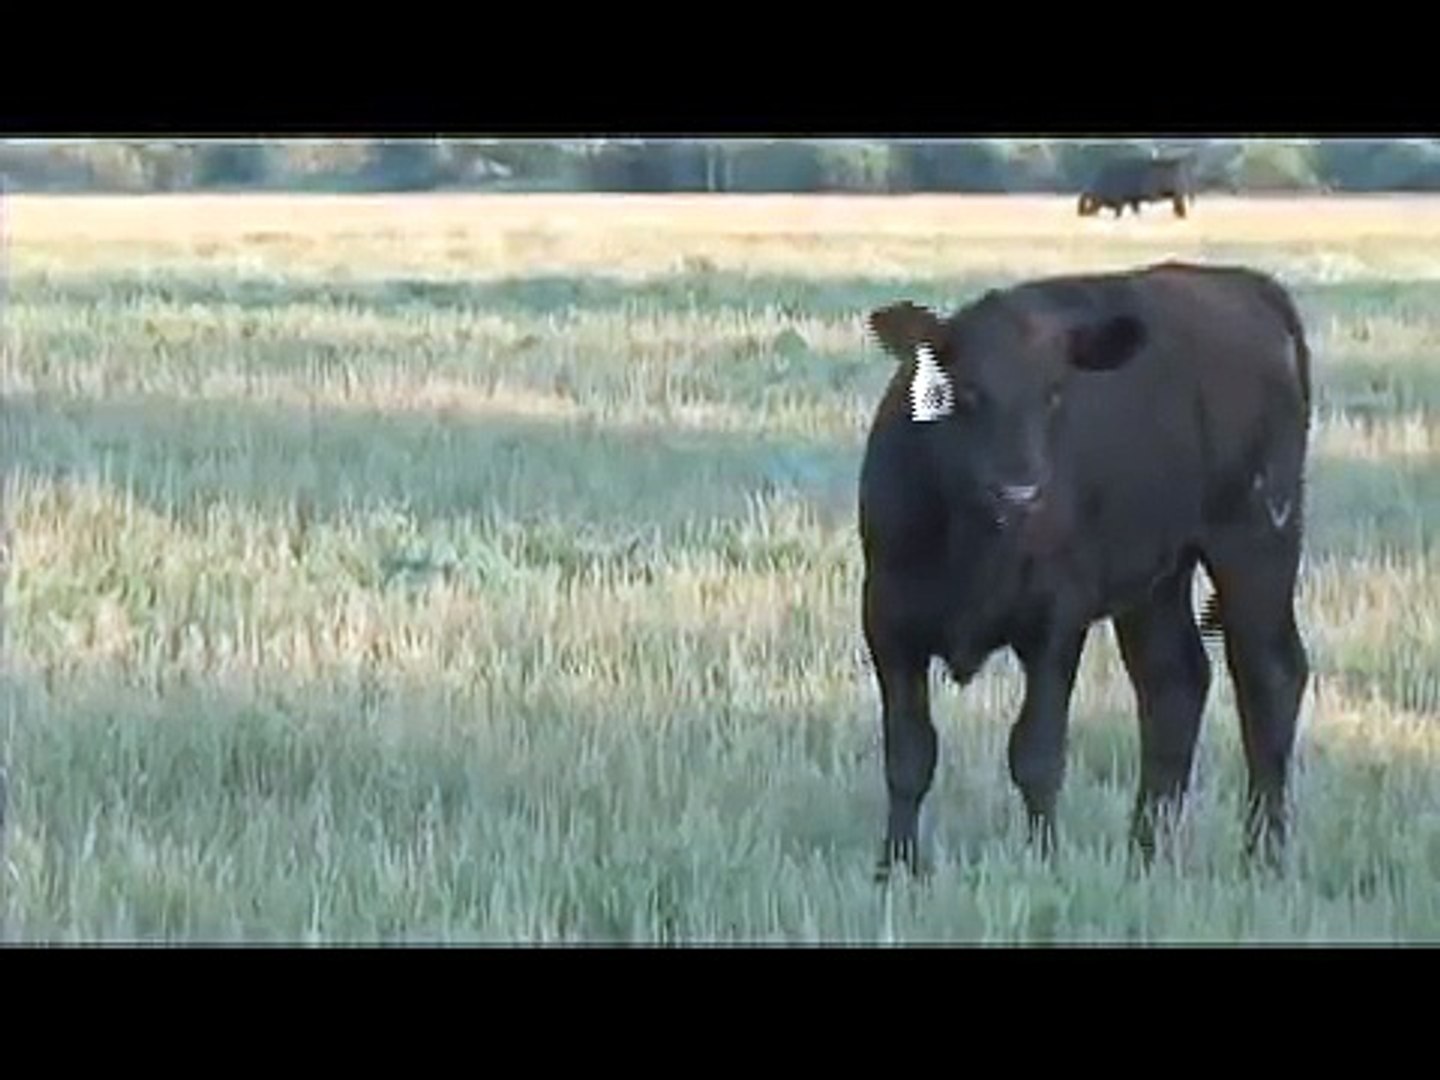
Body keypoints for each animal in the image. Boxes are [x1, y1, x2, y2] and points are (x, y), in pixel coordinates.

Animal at [858, 260, 1313, 881]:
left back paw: (1263, 855)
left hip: (1257, 544)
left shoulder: (1055, 622)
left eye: (1053, 393)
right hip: (1156, 580)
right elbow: (909, 755)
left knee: (1270, 677)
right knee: (1174, 684)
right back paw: (1143, 852)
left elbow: (1036, 753)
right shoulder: (888, 623)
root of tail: (1243, 283)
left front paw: (1043, 861)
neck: (977, 542)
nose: (1022, 492)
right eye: (966, 392)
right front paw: (895, 868)